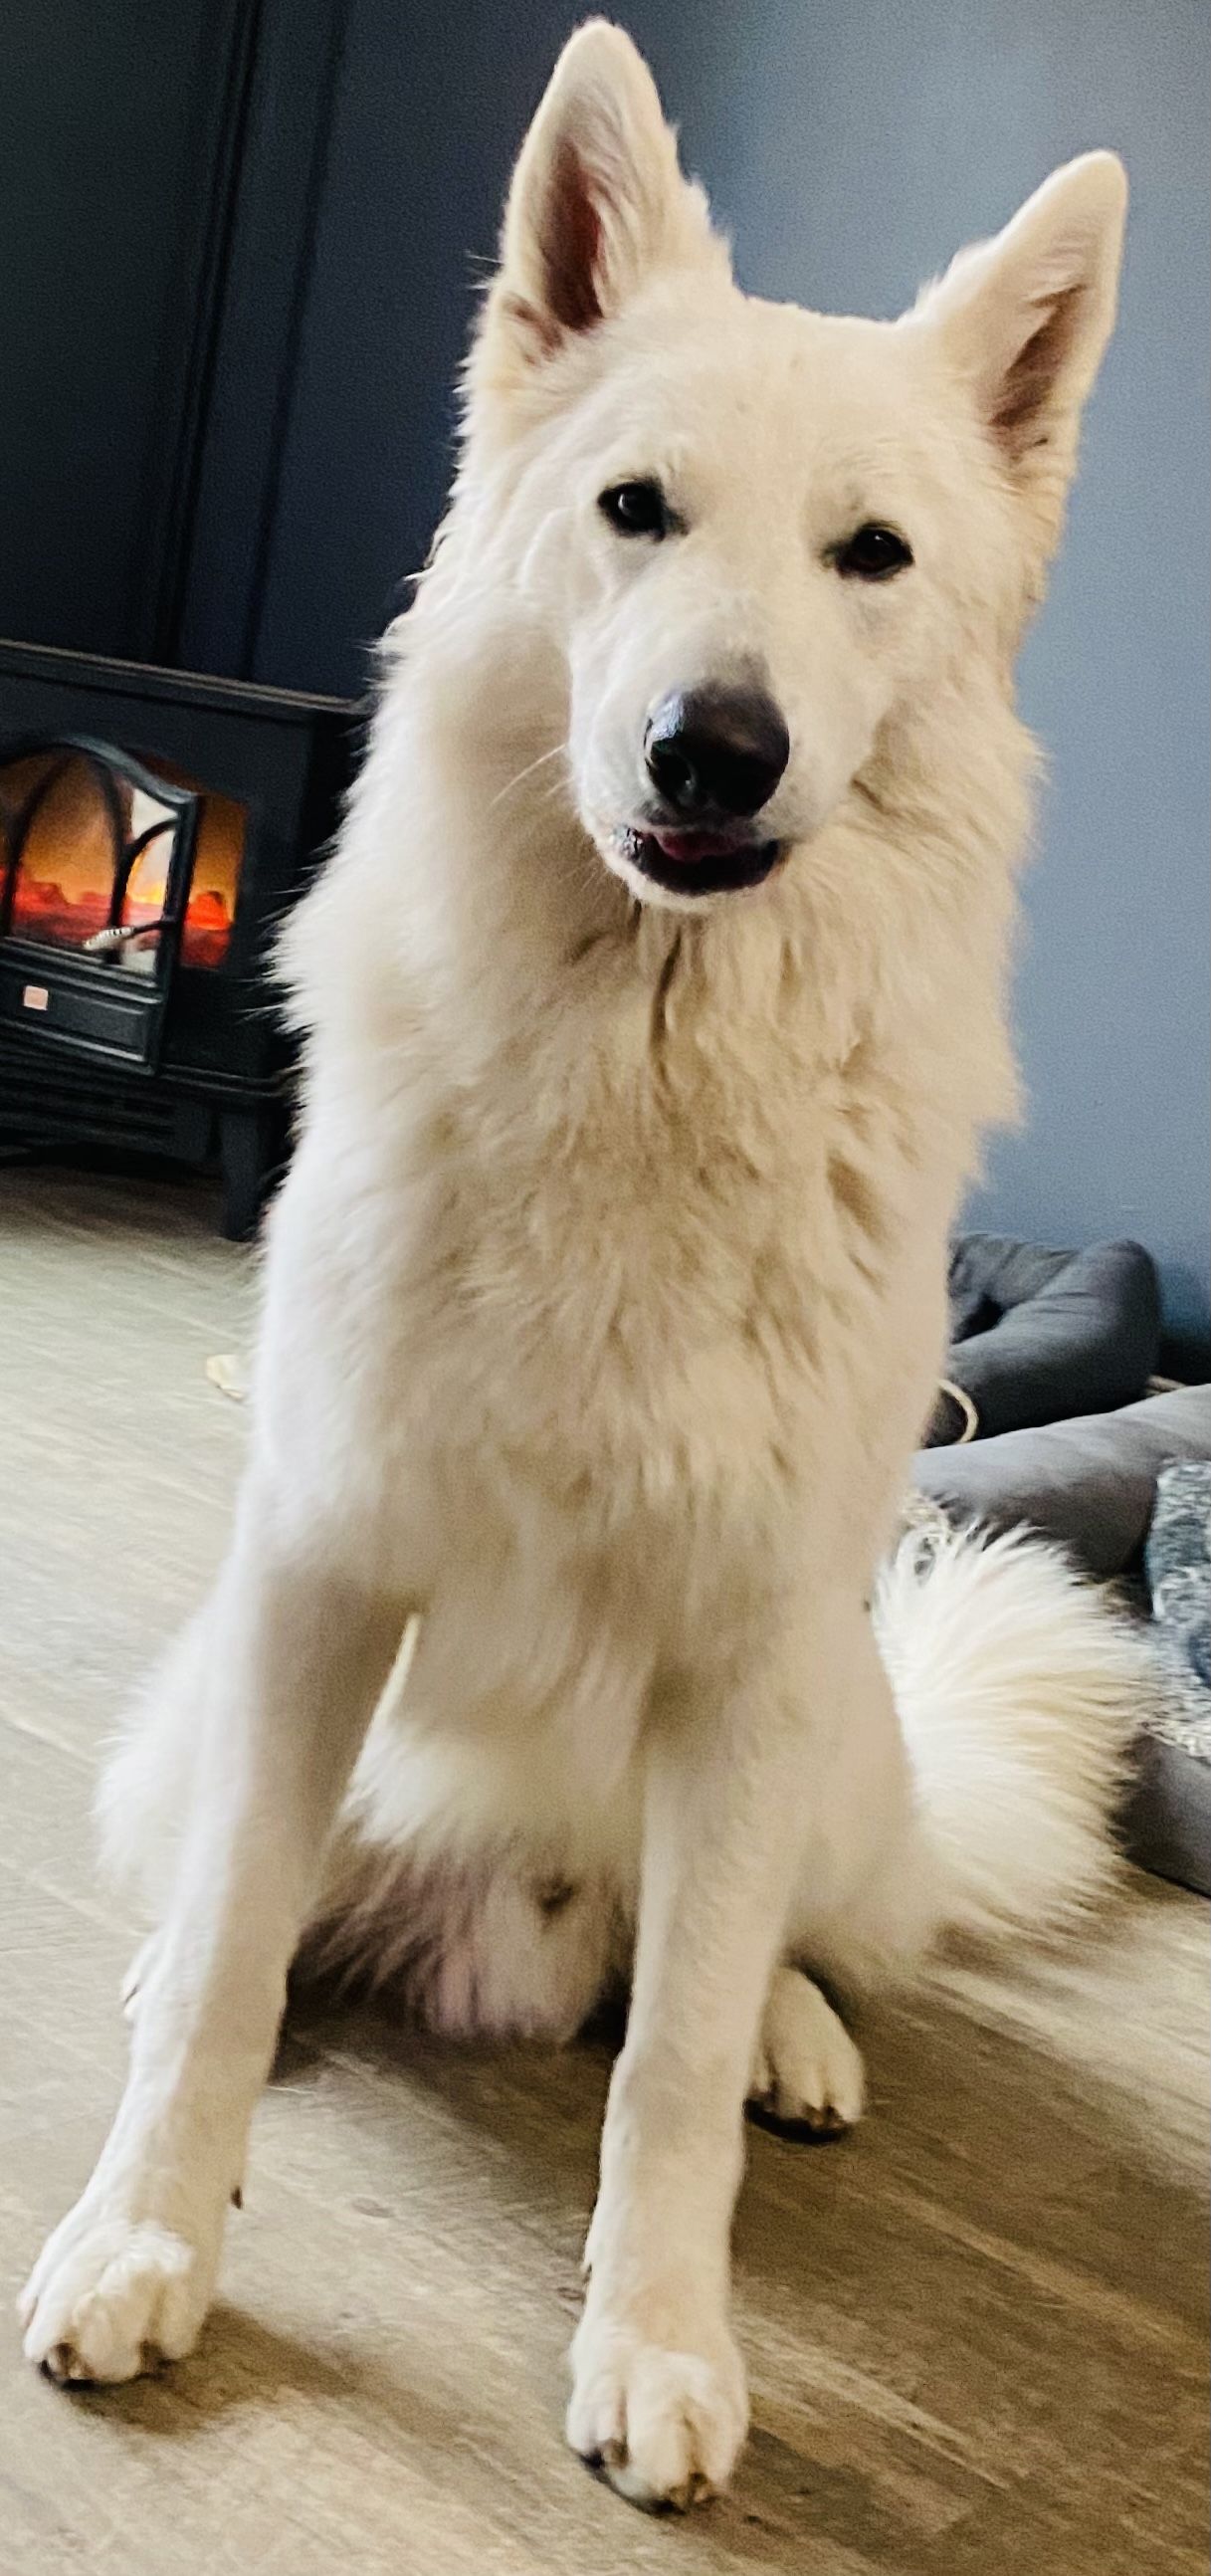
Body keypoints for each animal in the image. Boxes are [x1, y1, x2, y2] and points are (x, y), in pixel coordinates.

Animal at [21, 21, 1134, 2513]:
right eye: (633, 509)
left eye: (867, 556)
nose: (708, 749)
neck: (644, 1063)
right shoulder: (324, 1570)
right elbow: (228, 1958)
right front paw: (147, 2233)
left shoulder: (739, 1665)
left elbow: (665, 2065)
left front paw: (659, 2344)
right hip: (230, 1693)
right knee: (246, 1897)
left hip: (829, 1733)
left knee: (720, 1970)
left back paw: (797, 2035)